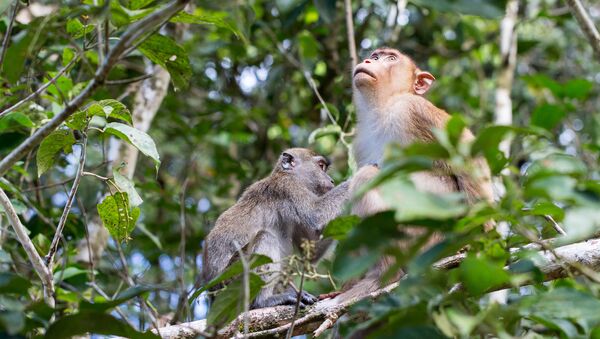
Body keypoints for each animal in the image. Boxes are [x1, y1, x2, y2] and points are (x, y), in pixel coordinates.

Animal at [200, 149, 370, 310]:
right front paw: (366, 172)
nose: (331, 180)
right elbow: (316, 215)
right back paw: (263, 301)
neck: (288, 174)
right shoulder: (288, 187)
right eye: (321, 166)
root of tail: (213, 296)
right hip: (232, 283)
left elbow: (311, 251)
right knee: (265, 238)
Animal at [336, 47, 494, 302]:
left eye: (390, 58)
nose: (368, 60)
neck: (383, 108)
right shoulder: (360, 142)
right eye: (375, 56)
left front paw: (482, 235)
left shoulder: (412, 108)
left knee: (366, 177)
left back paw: (384, 276)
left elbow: (467, 153)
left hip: (424, 238)